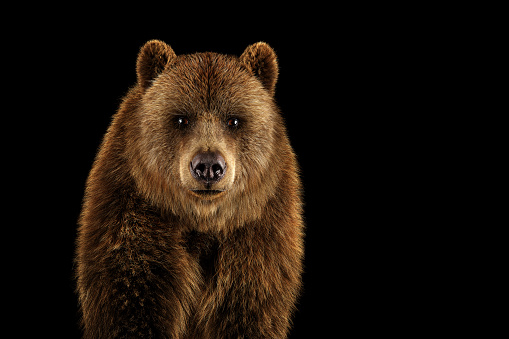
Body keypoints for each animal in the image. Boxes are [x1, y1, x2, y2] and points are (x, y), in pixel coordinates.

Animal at [75, 38, 304, 338]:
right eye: (181, 119)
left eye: (233, 119)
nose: (208, 166)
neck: (201, 218)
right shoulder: (133, 220)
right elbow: (134, 296)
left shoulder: (256, 234)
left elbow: (248, 309)